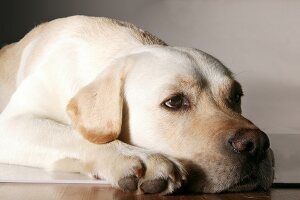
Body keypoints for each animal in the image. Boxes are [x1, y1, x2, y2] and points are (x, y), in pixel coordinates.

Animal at [0, 15, 274, 194]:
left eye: (236, 96)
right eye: (174, 102)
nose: (257, 144)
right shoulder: (11, 124)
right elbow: (72, 135)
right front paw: (141, 158)